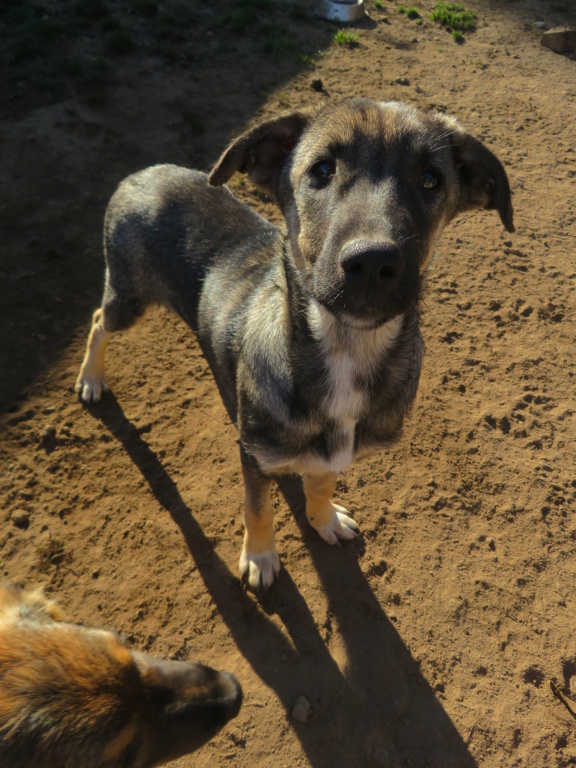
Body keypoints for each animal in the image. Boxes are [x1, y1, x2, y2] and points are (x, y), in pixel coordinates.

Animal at [75, 97, 512, 588]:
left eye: (430, 178)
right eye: (321, 169)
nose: (372, 263)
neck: (344, 348)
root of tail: (142, 173)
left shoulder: (328, 452)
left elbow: (320, 483)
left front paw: (324, 521)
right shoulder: (254, 458)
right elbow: (258, 509)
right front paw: (260, 557)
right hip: (129, 296)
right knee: (98, 320)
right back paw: (91, 379)